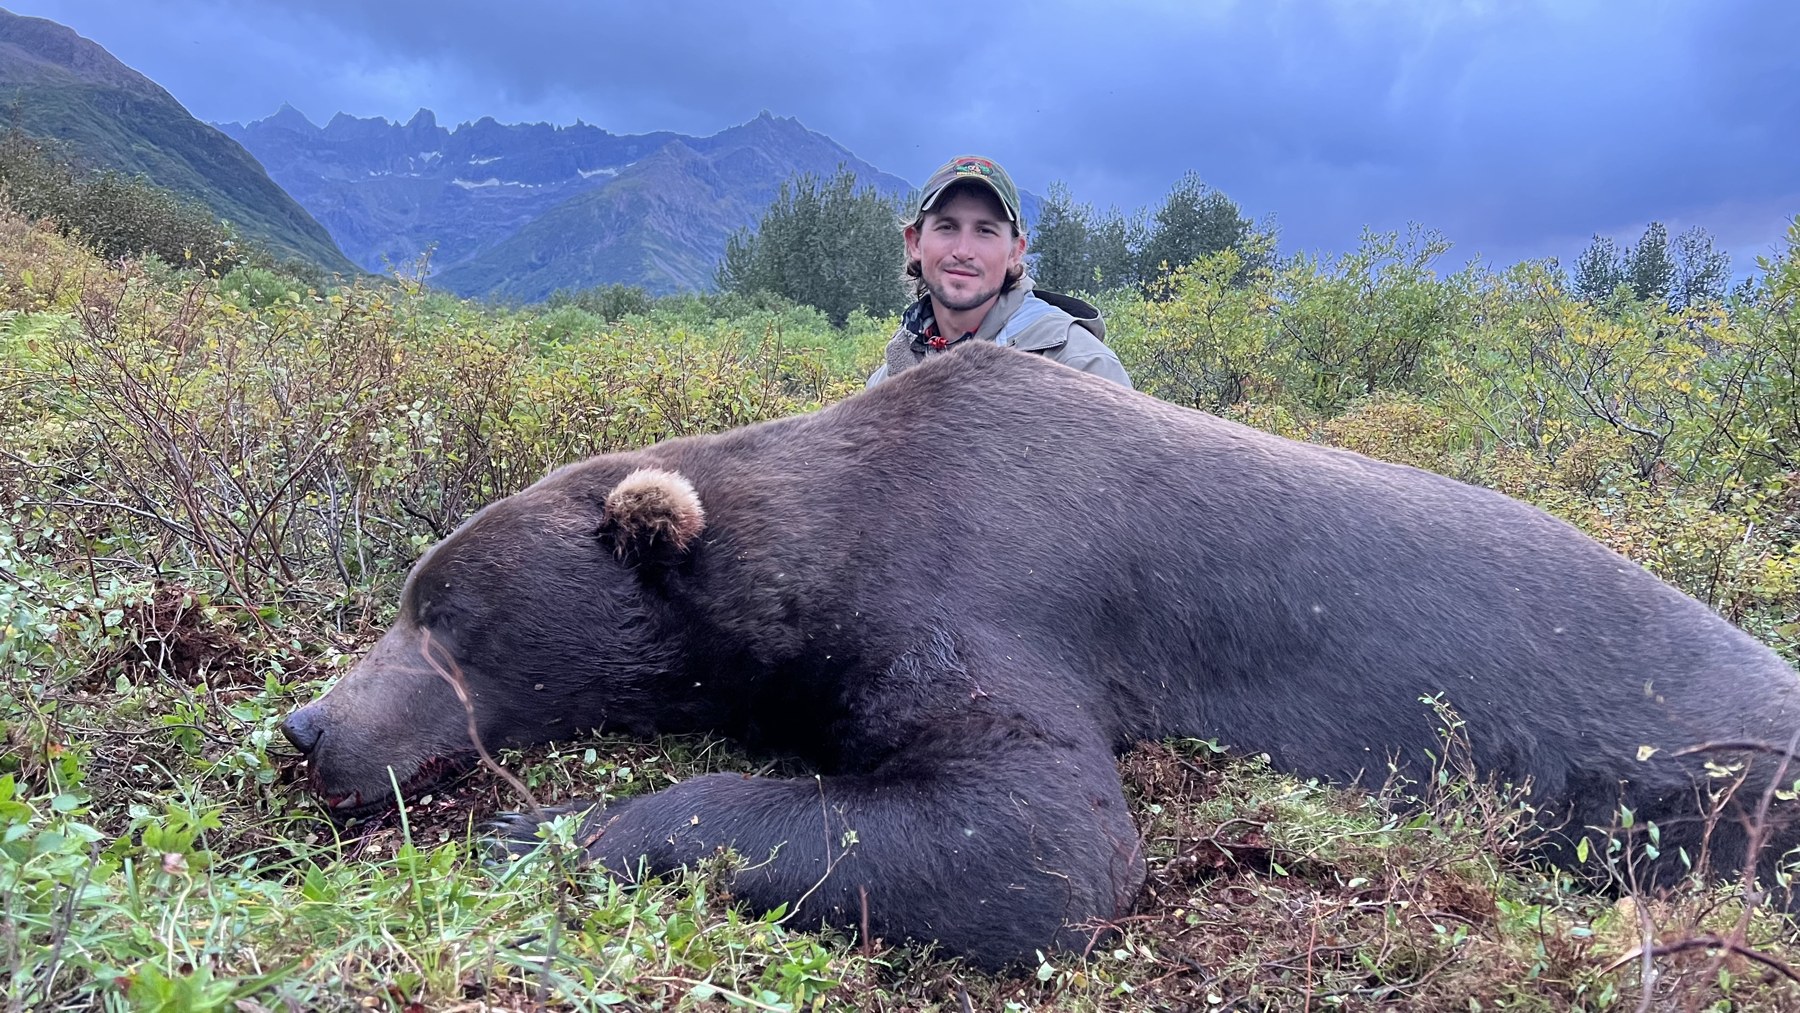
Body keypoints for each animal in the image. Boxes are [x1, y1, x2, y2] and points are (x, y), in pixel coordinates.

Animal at [281, 340, 1800, 971]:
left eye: (442, 612)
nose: (306, 726)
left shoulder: (985, 585)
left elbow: (1038, 833)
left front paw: (546, 826)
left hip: (1708, 778)